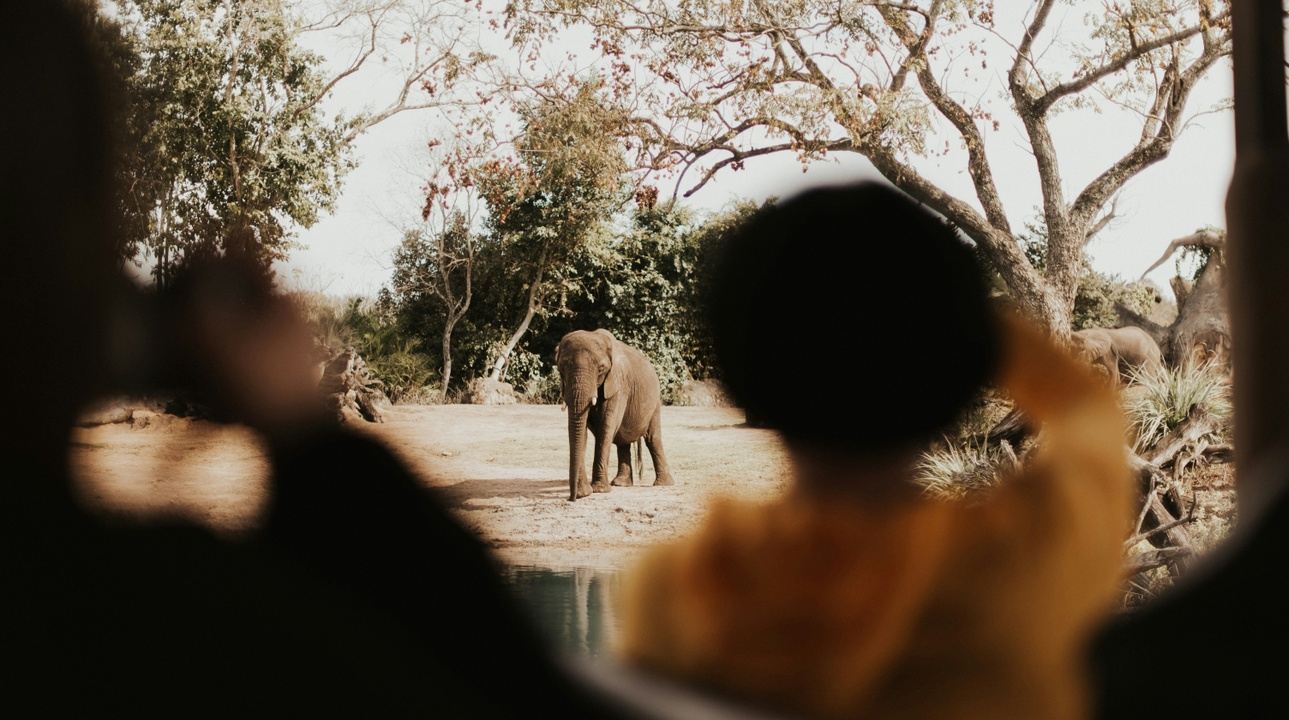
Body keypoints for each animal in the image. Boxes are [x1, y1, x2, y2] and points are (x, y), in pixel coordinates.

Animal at [556, 329, 674, 501]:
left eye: (601, 368)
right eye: (561, 368)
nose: (571, 498)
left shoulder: (618, 384)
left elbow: (606, 427)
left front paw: (599, 490)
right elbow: (582, 431)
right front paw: (584, 493)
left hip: (655, 401)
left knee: (653, 438)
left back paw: (663, 484)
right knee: (623, 442)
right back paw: (621, 484)